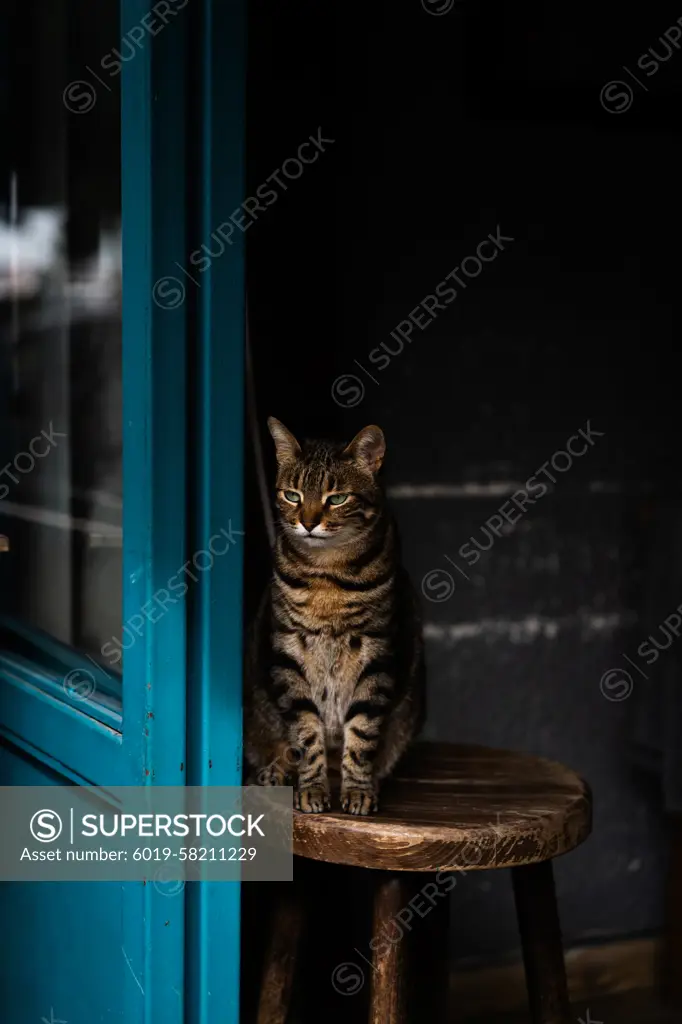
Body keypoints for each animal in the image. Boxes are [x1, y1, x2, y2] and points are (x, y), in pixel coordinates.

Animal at [244, 415, 421, 815]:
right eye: (292, 495)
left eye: (336, 498)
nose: (308, 523)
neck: (327, 575)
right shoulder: (289, 654)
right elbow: (306, 734)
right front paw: (312, 788)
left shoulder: (376, 654)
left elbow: (362, 734)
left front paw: (357, 789)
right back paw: (276, 772)